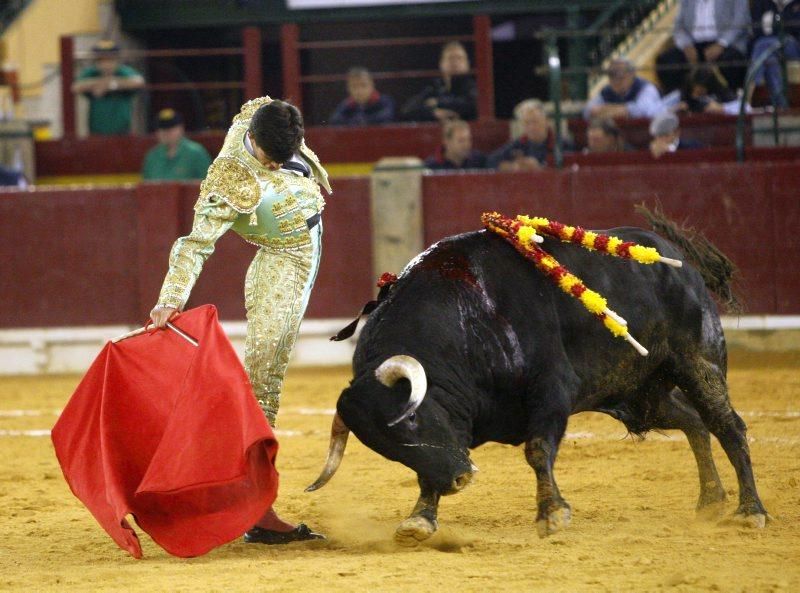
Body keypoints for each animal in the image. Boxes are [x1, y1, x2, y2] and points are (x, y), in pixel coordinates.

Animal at [306, 208, 768, 544]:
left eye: (412, 418)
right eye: (384, 446)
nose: (459, 480)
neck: (467, 321)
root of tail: (680, 261)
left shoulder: (551, 392)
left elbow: (537, 448)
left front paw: (552, 514)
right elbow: (430, 465)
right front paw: (419, 520)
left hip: (697, 362)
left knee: (728, 426)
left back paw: (750, 511)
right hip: (641, 395)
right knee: (693, 422)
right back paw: (711, 501)